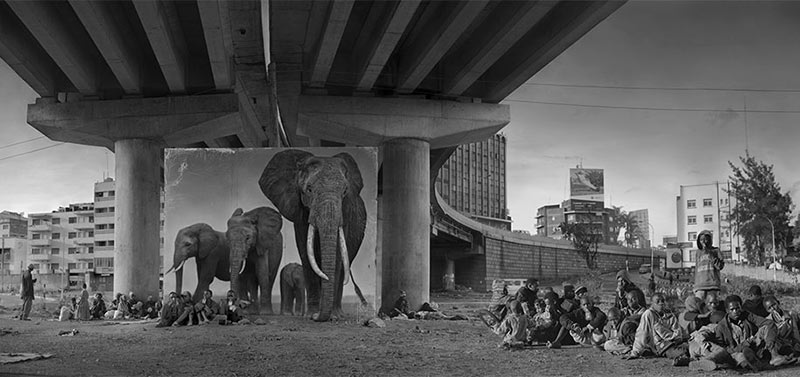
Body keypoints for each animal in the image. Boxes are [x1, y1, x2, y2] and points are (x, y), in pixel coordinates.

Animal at [260, 149, 368, 320]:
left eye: (345, 191)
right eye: (309, 189)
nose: (317, 316)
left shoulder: (345, 211)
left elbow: (337, 256)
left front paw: (330, 317)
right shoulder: (300, 210)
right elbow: (306, 253)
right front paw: (311, 314)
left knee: (345, 264)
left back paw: (338, 313)